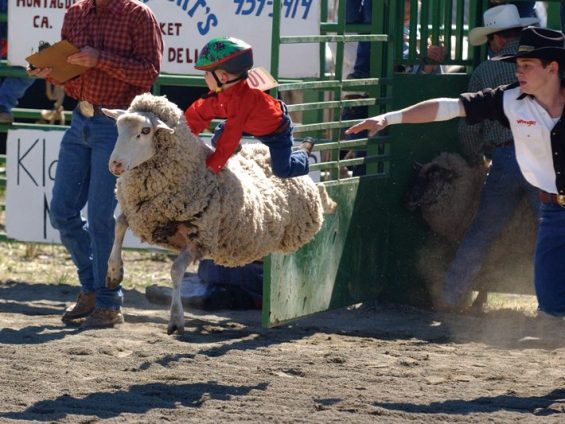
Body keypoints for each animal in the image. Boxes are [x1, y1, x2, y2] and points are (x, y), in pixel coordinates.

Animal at [102, 93, 334, 334]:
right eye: (118, 128)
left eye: (145, 130)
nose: (115, 165)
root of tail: (262, 152)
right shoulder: (142, 217)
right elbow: (119, 225)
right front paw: (114, 273)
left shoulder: (200, 238)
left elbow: (175, 271)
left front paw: (176, 319)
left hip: (306, 216)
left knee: (318, 190)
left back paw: (323, 184)